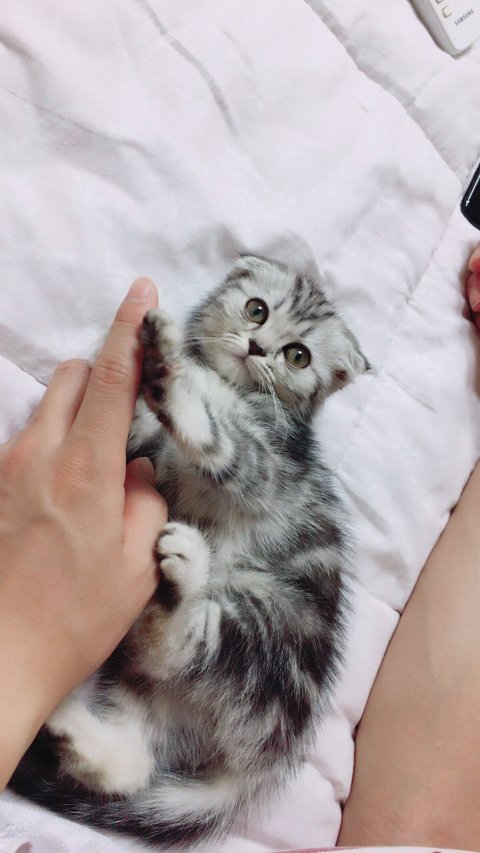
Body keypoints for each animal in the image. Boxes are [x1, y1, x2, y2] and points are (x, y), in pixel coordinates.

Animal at [9, 255, 368, 847]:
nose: (258, 347)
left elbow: (223, 443)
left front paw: (172, 374)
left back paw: (186, 574)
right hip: (137, 684)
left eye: (298, 356)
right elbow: (138, 433)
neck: (234, 386)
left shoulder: (270, 466)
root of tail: (261, 766)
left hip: (268, 618)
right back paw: (64, 721)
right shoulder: (146, 448)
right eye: (256, 309)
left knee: (189, 645)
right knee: (131, 761)